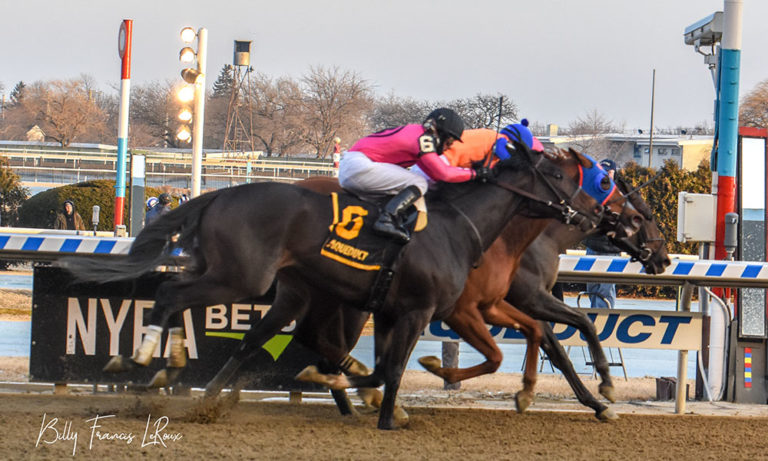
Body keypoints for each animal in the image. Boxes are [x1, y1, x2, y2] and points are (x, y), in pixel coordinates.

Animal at [61, 142, 616, 430]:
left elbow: (390, 366)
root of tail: (219, 195)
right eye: (564, 179)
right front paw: (386, 407)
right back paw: (141, 359)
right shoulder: (429, 309)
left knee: (256, 331)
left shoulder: (402, 309)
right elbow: (394, 368)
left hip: (278, 286)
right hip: (246, 277)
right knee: (173, 296)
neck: (461, 227)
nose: (590, 217)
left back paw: (182, 376)